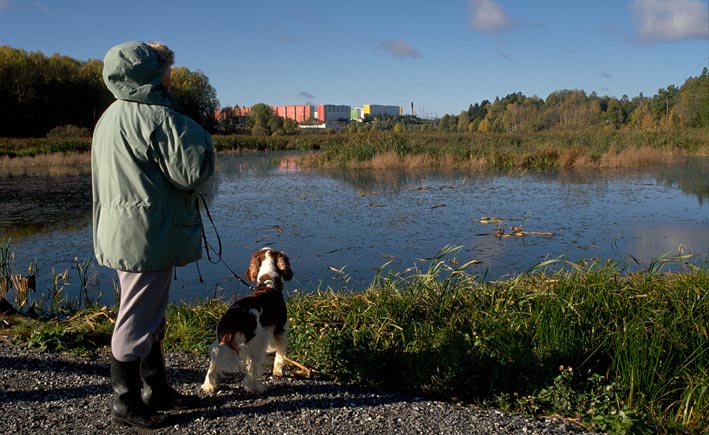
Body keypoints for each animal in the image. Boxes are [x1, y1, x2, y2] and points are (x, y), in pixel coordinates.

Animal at [202, 249, 294, 396]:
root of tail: (232, 319)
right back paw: (257, 388)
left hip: (219, 343)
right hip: (254, 345)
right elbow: (280, 355)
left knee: (213, 365)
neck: (268, 283)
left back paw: (208, 386)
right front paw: (278, 371)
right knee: (251, 371)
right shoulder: (280, 331)